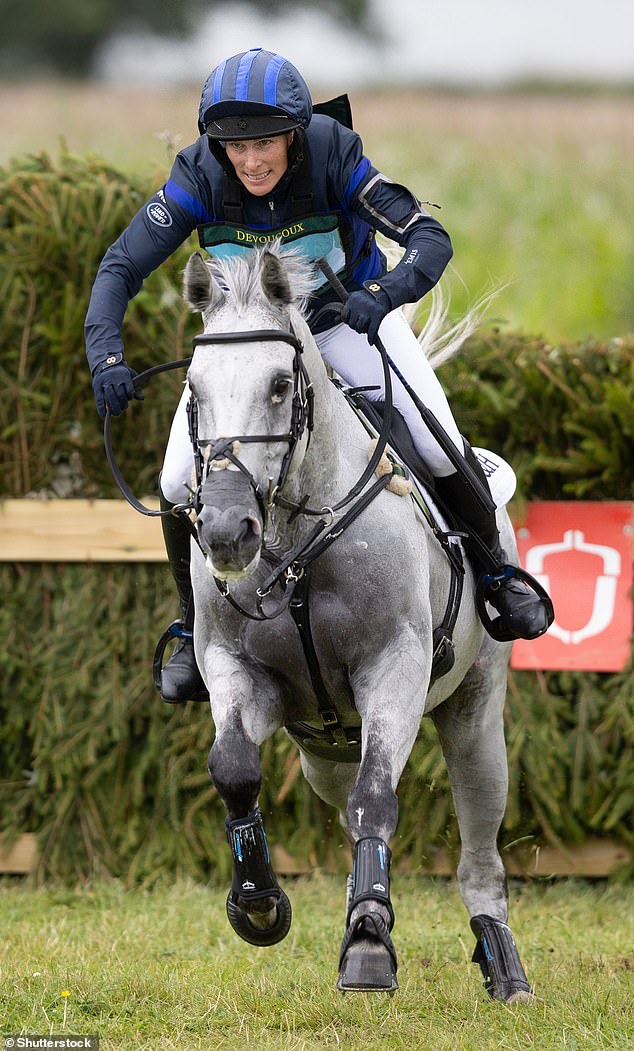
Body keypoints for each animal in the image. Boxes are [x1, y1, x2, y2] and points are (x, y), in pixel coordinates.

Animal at [180, 245, 534, 1000]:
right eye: (194, 390)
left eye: (280, 385)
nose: (225, 531)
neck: (294, 542)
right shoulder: (238, 670)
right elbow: (233, 767)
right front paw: (258, 903)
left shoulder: (392, 666)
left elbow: (379, 795)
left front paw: (370, 944)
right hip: (323, 749)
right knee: (345, 804)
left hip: (473, 712)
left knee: (478, 838)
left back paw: (503, 963)